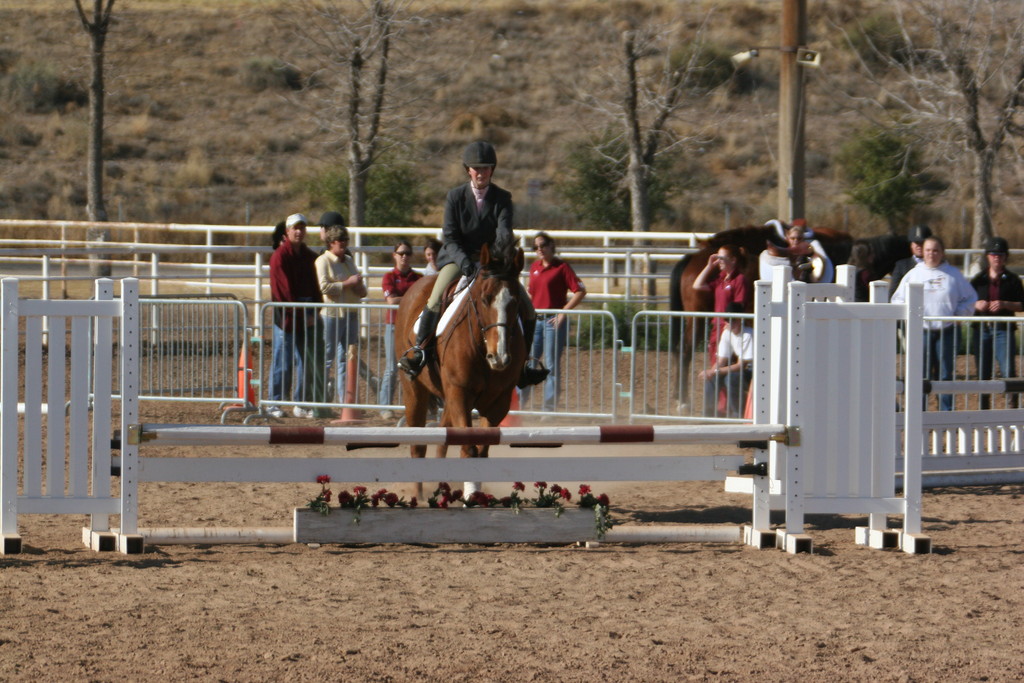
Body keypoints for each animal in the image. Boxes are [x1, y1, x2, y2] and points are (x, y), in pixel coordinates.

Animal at [395, 237, 528, 493]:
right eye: (485, 299)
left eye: (516, 302)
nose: (500, 357)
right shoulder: (460, 393)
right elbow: (469, 448)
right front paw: (471, 495)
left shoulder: (499, 402)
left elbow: (481, 450)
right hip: (414, 389)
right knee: (418, 446)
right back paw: (419, 495)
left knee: (441, 440)